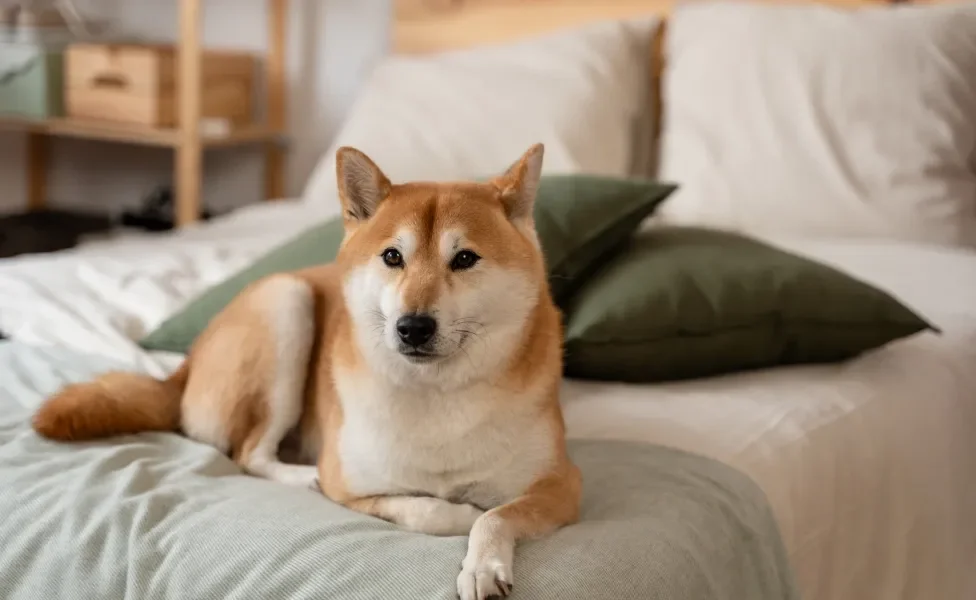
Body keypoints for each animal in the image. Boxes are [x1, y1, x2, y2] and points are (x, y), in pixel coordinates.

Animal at [32, 143, 580, 596]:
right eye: (392, 257)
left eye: (464, 259)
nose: (412, 327)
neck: (437, 396)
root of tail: (185, 365)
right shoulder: (350, 485)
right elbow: (430, 510)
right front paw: (460, 512)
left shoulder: (561, 485)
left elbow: (497, 517)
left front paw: (484, 565)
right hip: (285, 303)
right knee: (250, 453)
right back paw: (301, 477)